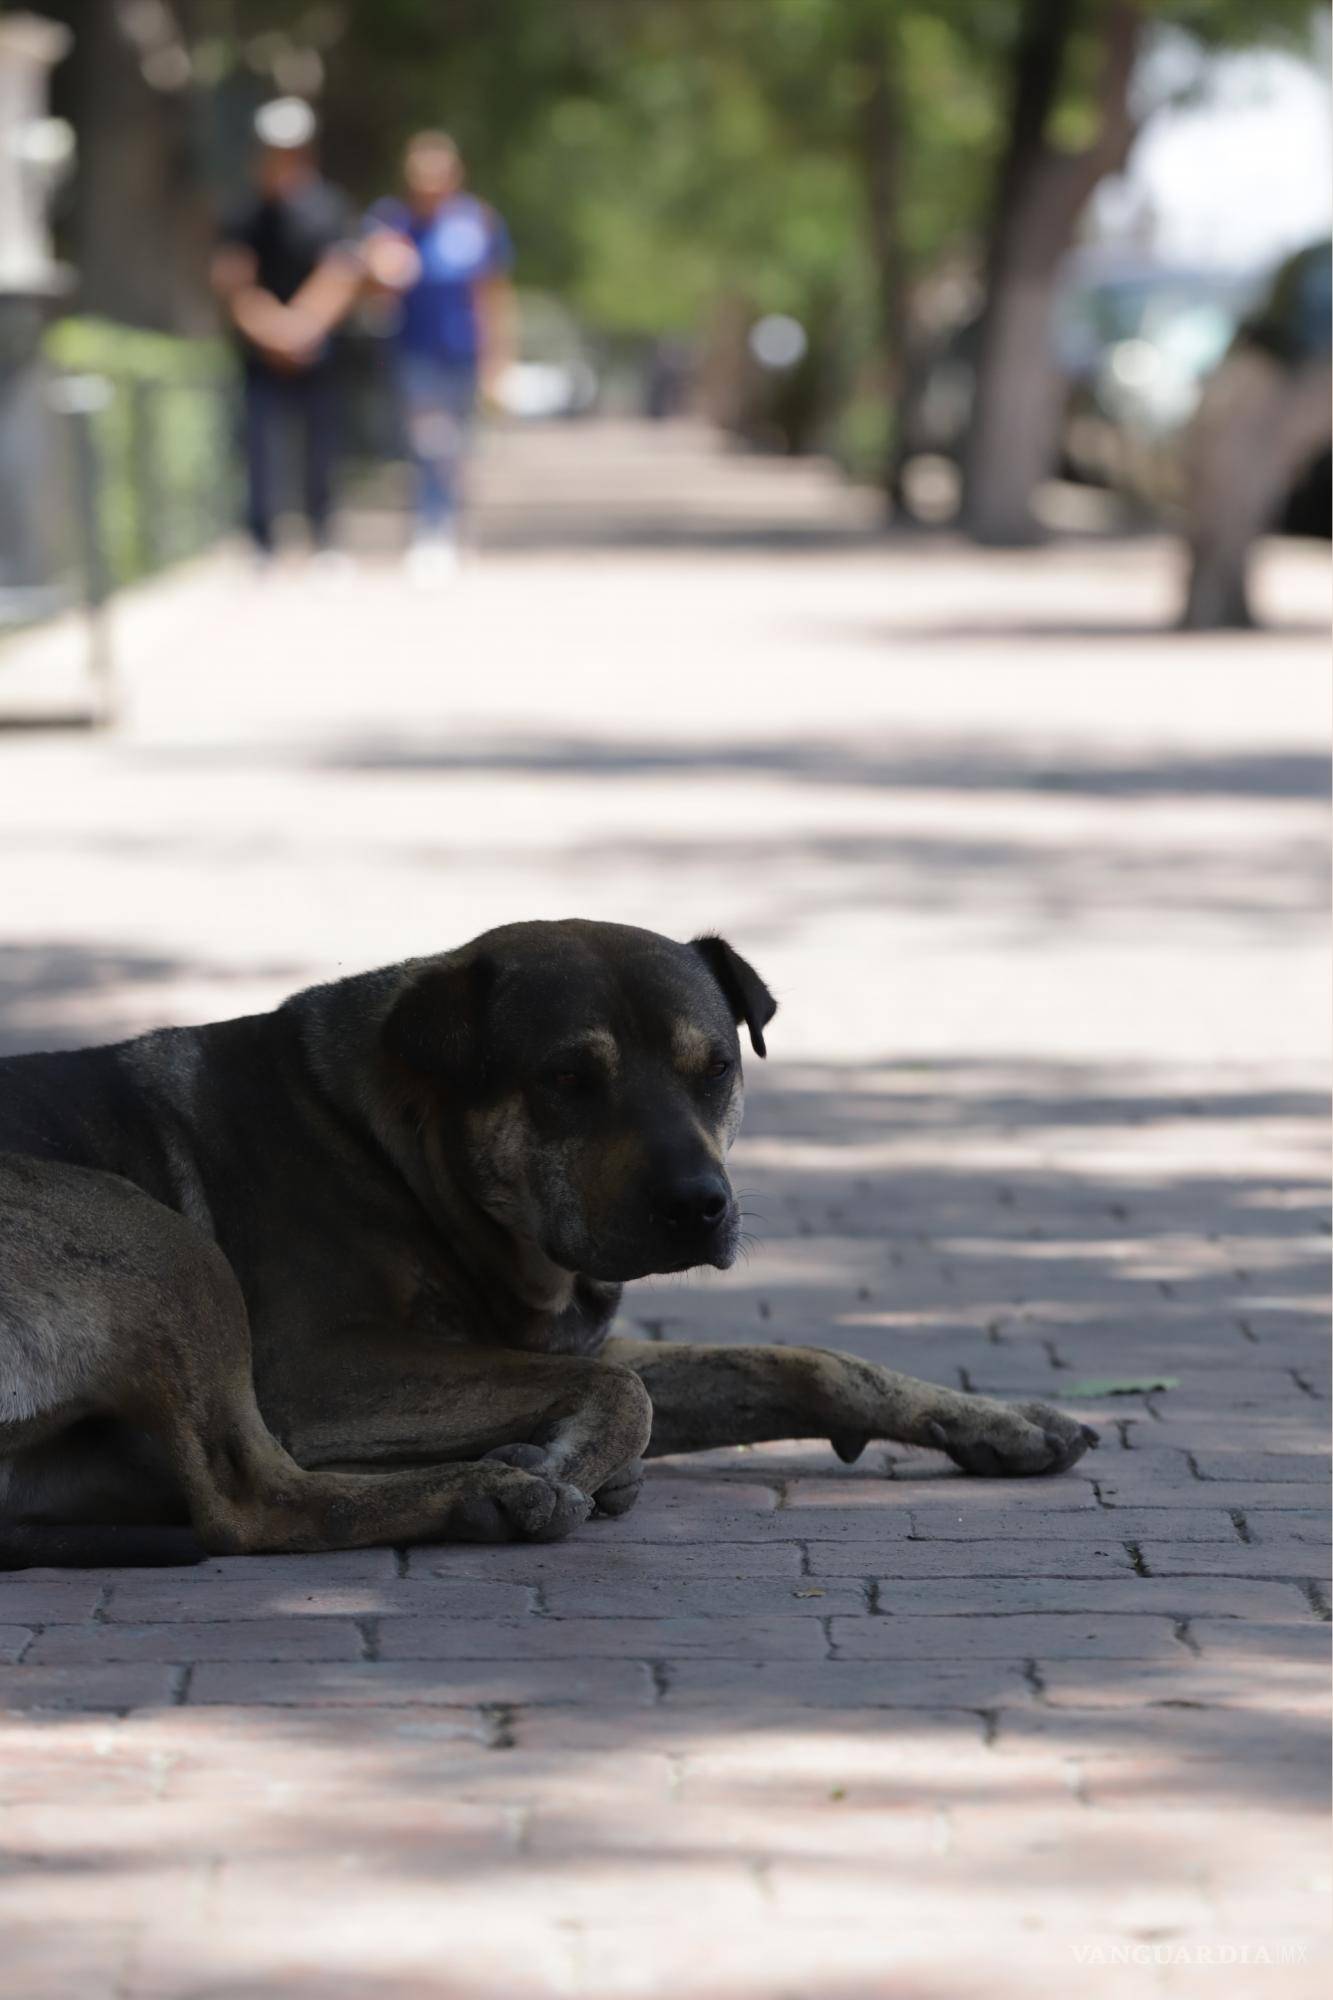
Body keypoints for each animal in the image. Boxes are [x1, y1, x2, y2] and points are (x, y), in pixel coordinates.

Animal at [0, 916, 1088, 1560]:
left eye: (713, 1067)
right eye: (568, 1078)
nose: (699, 1203)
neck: (398, 1146)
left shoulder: (560, 1341)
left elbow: (803, 1359)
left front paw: (994, 1417)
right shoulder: (315, 1372)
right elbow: (624, 1394)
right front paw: (564, 1468)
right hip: (161, 1246)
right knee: (248, 1499)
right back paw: (485, 1489)